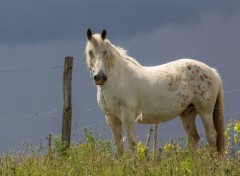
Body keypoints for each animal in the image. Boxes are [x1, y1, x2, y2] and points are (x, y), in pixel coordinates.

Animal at [85, 28, 225, 157]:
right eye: (90, 52)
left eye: (104, 52)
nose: (100, 77)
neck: (118, 79)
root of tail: (213, 72)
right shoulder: (112, 120)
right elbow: (119, 147)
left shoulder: (128, 117)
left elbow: (132, 144)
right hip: (187, 113)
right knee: (193, 138)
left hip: (205, 111)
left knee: (211, 136)